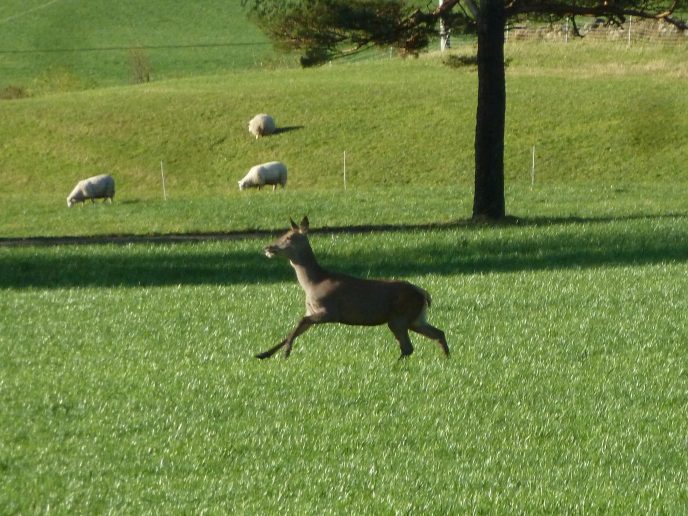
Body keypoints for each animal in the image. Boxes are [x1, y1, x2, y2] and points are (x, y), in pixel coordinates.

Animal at [255, 217, 448, 358]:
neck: (313, 283)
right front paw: (263, 354)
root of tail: (423, 294)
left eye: (288, 237)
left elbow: (299, 322)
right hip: (416, 318)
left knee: (408, 347)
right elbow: (292, 330)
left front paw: (286, 352)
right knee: (438, 333)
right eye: (283, 234)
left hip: (399, 316)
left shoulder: (331, 311)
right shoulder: (311, 310)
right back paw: (446, 359)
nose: (268, 247)